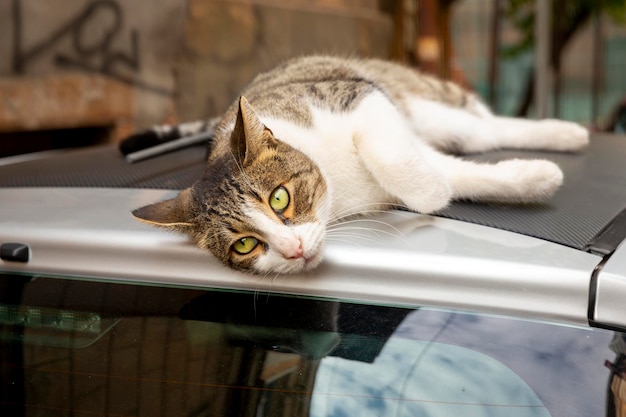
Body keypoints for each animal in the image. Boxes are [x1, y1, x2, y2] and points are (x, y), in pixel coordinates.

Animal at [130, 53, 584, 272]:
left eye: (279, 199)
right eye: (245, 244)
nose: (293, 250)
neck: (336, 182)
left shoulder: (355, 95)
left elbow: (391, 156)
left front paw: (431, 190)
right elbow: (453, 175)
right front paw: (533, 177)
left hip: (417, 103)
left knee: (483, 127)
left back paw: (566, 133)